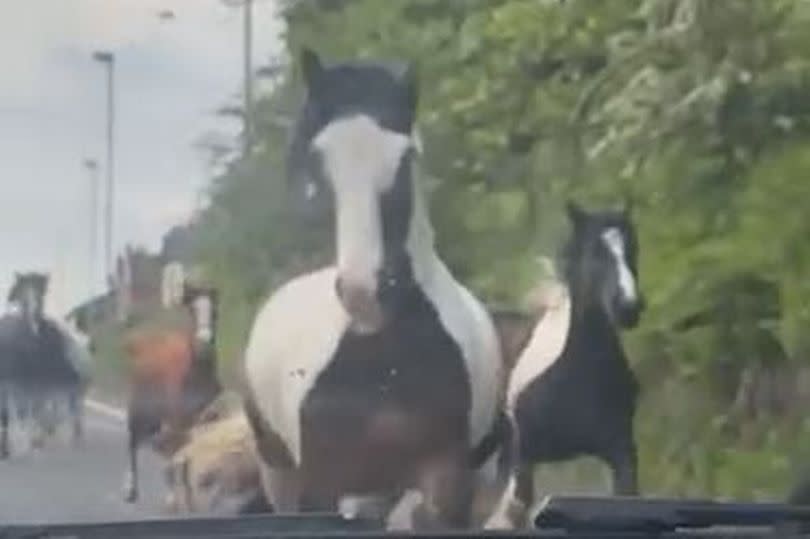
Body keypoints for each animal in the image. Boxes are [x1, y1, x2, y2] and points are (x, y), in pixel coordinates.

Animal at [121, 280, 221, 504]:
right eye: (192, 310)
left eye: (215, 312)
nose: (204, 342)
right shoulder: (178, 420)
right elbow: (179, 455)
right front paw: (176, 497)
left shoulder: (208, 417)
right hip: (140, 410)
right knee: (133, 443)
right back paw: (132, 489)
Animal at [241, 50, 504, 532]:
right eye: (319, 156)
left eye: (406, 156)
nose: (364, 291)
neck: (380, 358)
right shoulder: (320, 484)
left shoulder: (446, 482)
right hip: (280, 472)